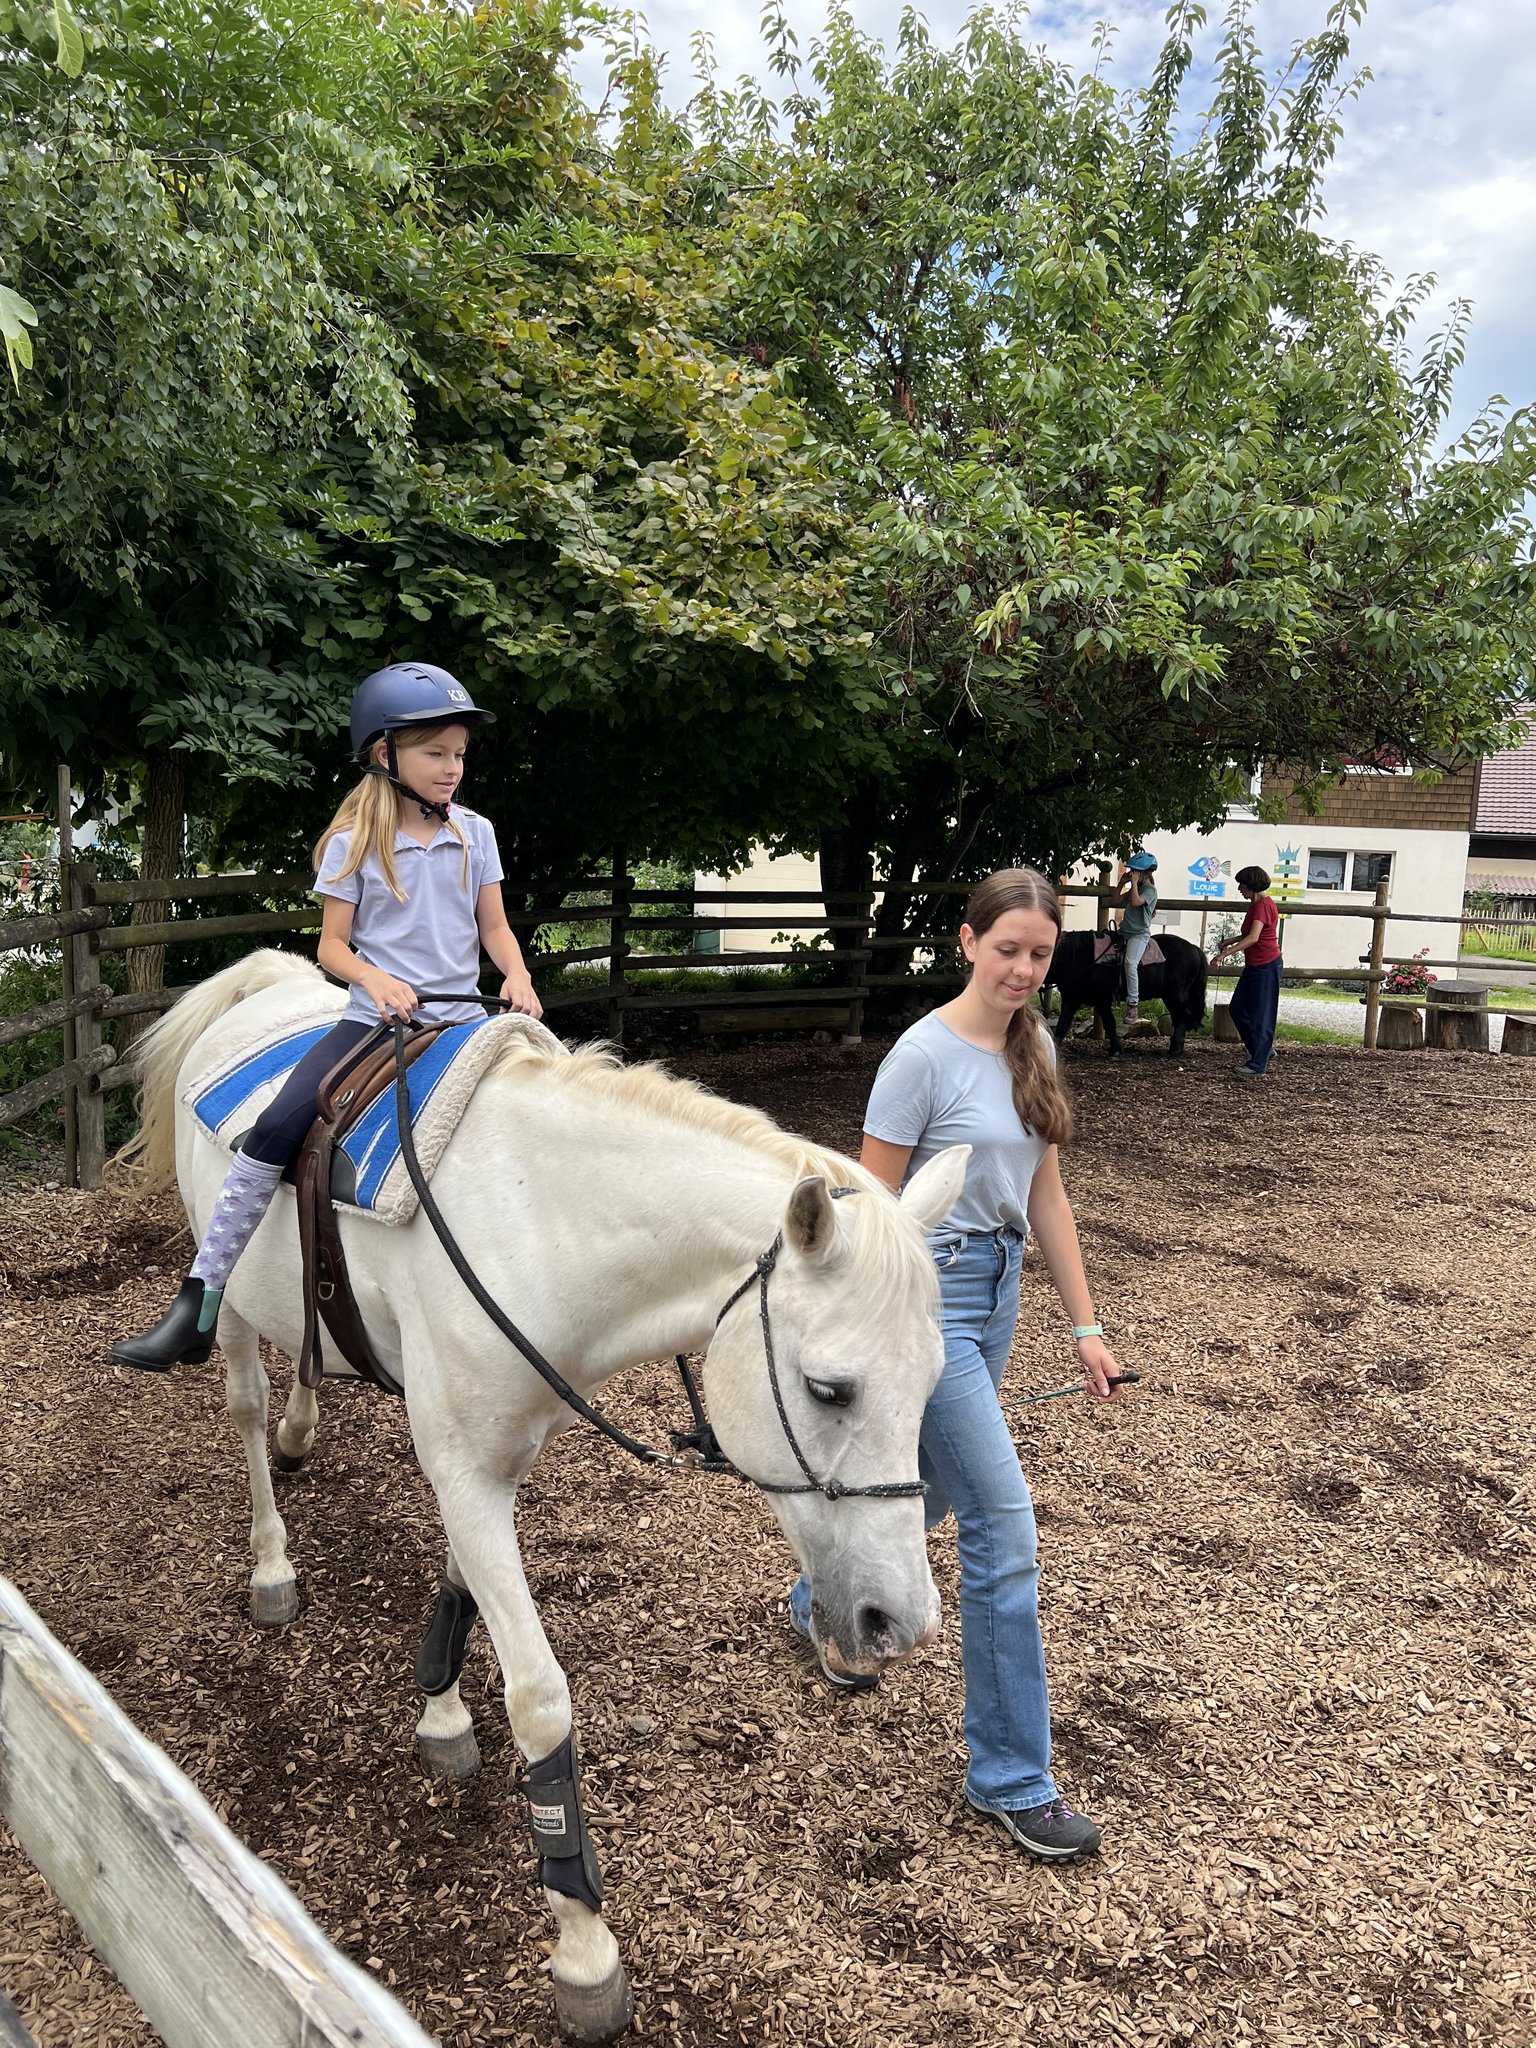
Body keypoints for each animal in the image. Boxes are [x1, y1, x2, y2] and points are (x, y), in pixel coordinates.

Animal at [123, 950, 967, 2043]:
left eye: (934, 1378)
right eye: (830, 1388)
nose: (899, 1620)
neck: (536, 1221)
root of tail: (257, 985)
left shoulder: (491, 1454)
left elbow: (461, 1587)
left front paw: (439, 1704)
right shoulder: (466, 1466)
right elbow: (539, 1698)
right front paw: (582, 1938)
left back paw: (305, 1429)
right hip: (221, 1295)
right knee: (243, 1398)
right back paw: (271, 1562)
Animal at [1043, 928, 1208, 1057]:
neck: (1083, 957)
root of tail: (1194, 948)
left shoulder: (1102, 1000)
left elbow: (1110, 1023)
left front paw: (1116, 1050)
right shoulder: (1070, 999)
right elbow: (1062, 1025)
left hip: (1176, 994)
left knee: (1181, 1016)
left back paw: (1175, 1050)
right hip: (1169, 995)